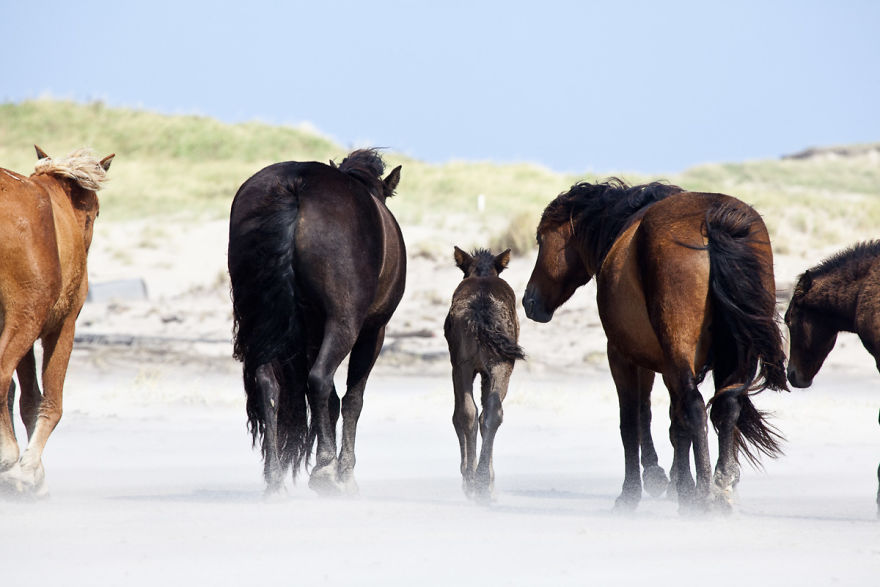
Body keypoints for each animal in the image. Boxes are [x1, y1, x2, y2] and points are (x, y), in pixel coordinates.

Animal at [0, 145, 114, 496]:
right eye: (96, 213)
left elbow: (27, 399)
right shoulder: (62, 327)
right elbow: (50, 401)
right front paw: (29, 471)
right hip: (27, 317)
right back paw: (8, 454)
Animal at [228, 149, 405, 495]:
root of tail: (294, 184)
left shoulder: (310, 332)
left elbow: (333, 401)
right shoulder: (373, 331)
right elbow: (351, 400)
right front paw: (344, 471)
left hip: (262, 322)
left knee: (269, 384)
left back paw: (275, 480)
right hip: (344, 322)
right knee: (321, 379)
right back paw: (324, 469)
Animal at [444, 247, 524, 501]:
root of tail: (481, 310)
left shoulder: (463, 365)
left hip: (463, 364)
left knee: (467, 413)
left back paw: (472, 480)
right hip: (500, 362)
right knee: (490, 412)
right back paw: (480, 483)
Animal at [523, 178, 788, 511]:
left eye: (540, 239)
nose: (528, 301)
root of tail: (714, 220)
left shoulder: (623, 357)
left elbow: (633, 420)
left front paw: (636, 489)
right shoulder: (665, 364)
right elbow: (674, 425)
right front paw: (680, 484)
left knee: (695, 408)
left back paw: (704, 496)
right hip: (734, 355)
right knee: (725, 408)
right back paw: (720, 488)